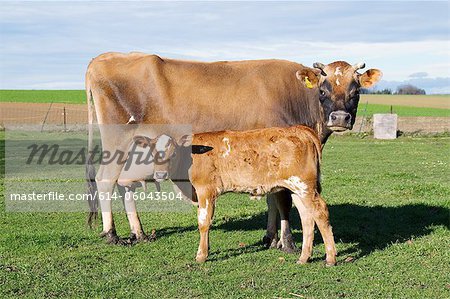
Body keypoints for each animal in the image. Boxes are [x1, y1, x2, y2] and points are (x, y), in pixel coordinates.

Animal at [84, 52, 380, 248]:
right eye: (323, 89)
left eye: (355, 90)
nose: (340, 118)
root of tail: (104, 57)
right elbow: (282, 199)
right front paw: (286, 242)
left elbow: (271, 197)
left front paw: (269, 237)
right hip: (117, 138)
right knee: (105, 180)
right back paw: (112, 234)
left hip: (137, 146)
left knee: (126, 184)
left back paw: (140, 233)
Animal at [132, 125, 336, 266]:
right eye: (151, 153)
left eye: (172, 153)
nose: (160, 175)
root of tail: (300, 129)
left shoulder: (206, 190)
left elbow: (203, 222)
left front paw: (201, 255)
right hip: (297, 189)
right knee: (307, 217)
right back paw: (304, 257)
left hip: (305, 186)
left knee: (320, 212)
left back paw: (330, 258)